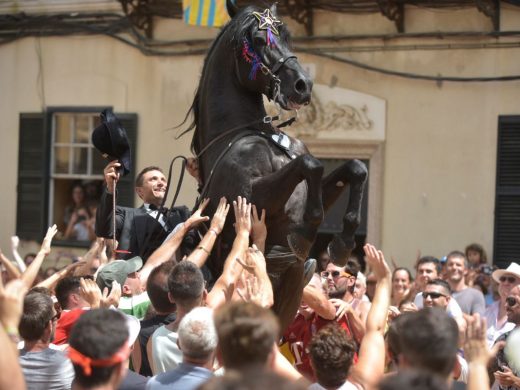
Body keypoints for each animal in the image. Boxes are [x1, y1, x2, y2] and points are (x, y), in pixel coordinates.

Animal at [185, 0, 368, 330]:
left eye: (287, 36)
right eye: (258, 40)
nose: (303, 85)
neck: (255, 133)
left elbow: (354, 168)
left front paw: (343, 243)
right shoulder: (251, 195)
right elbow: (310, 165)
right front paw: (304, 236)